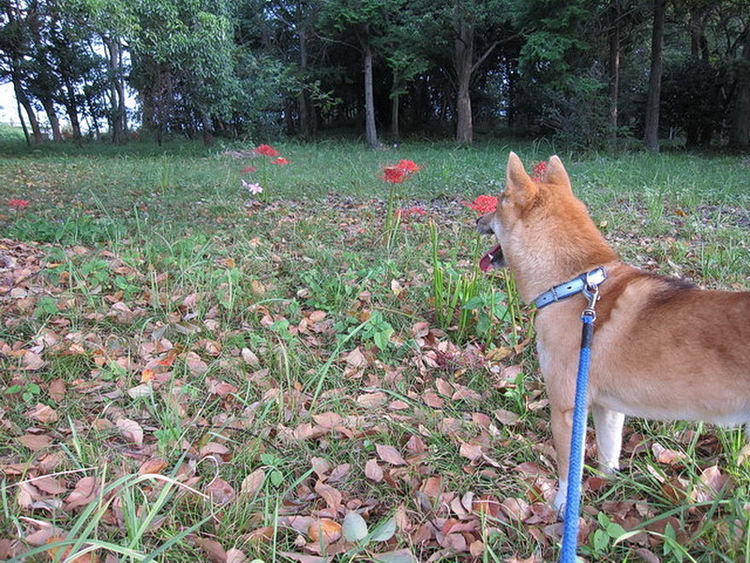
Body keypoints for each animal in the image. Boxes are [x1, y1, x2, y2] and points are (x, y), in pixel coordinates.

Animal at [477, 152, 750, 512]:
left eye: (497, 202)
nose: (476, 220)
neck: (574, 284)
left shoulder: (566, 409)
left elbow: (568, 471)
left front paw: (563, 509)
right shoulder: (607, 408)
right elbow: (609, 456)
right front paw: (605, 489)